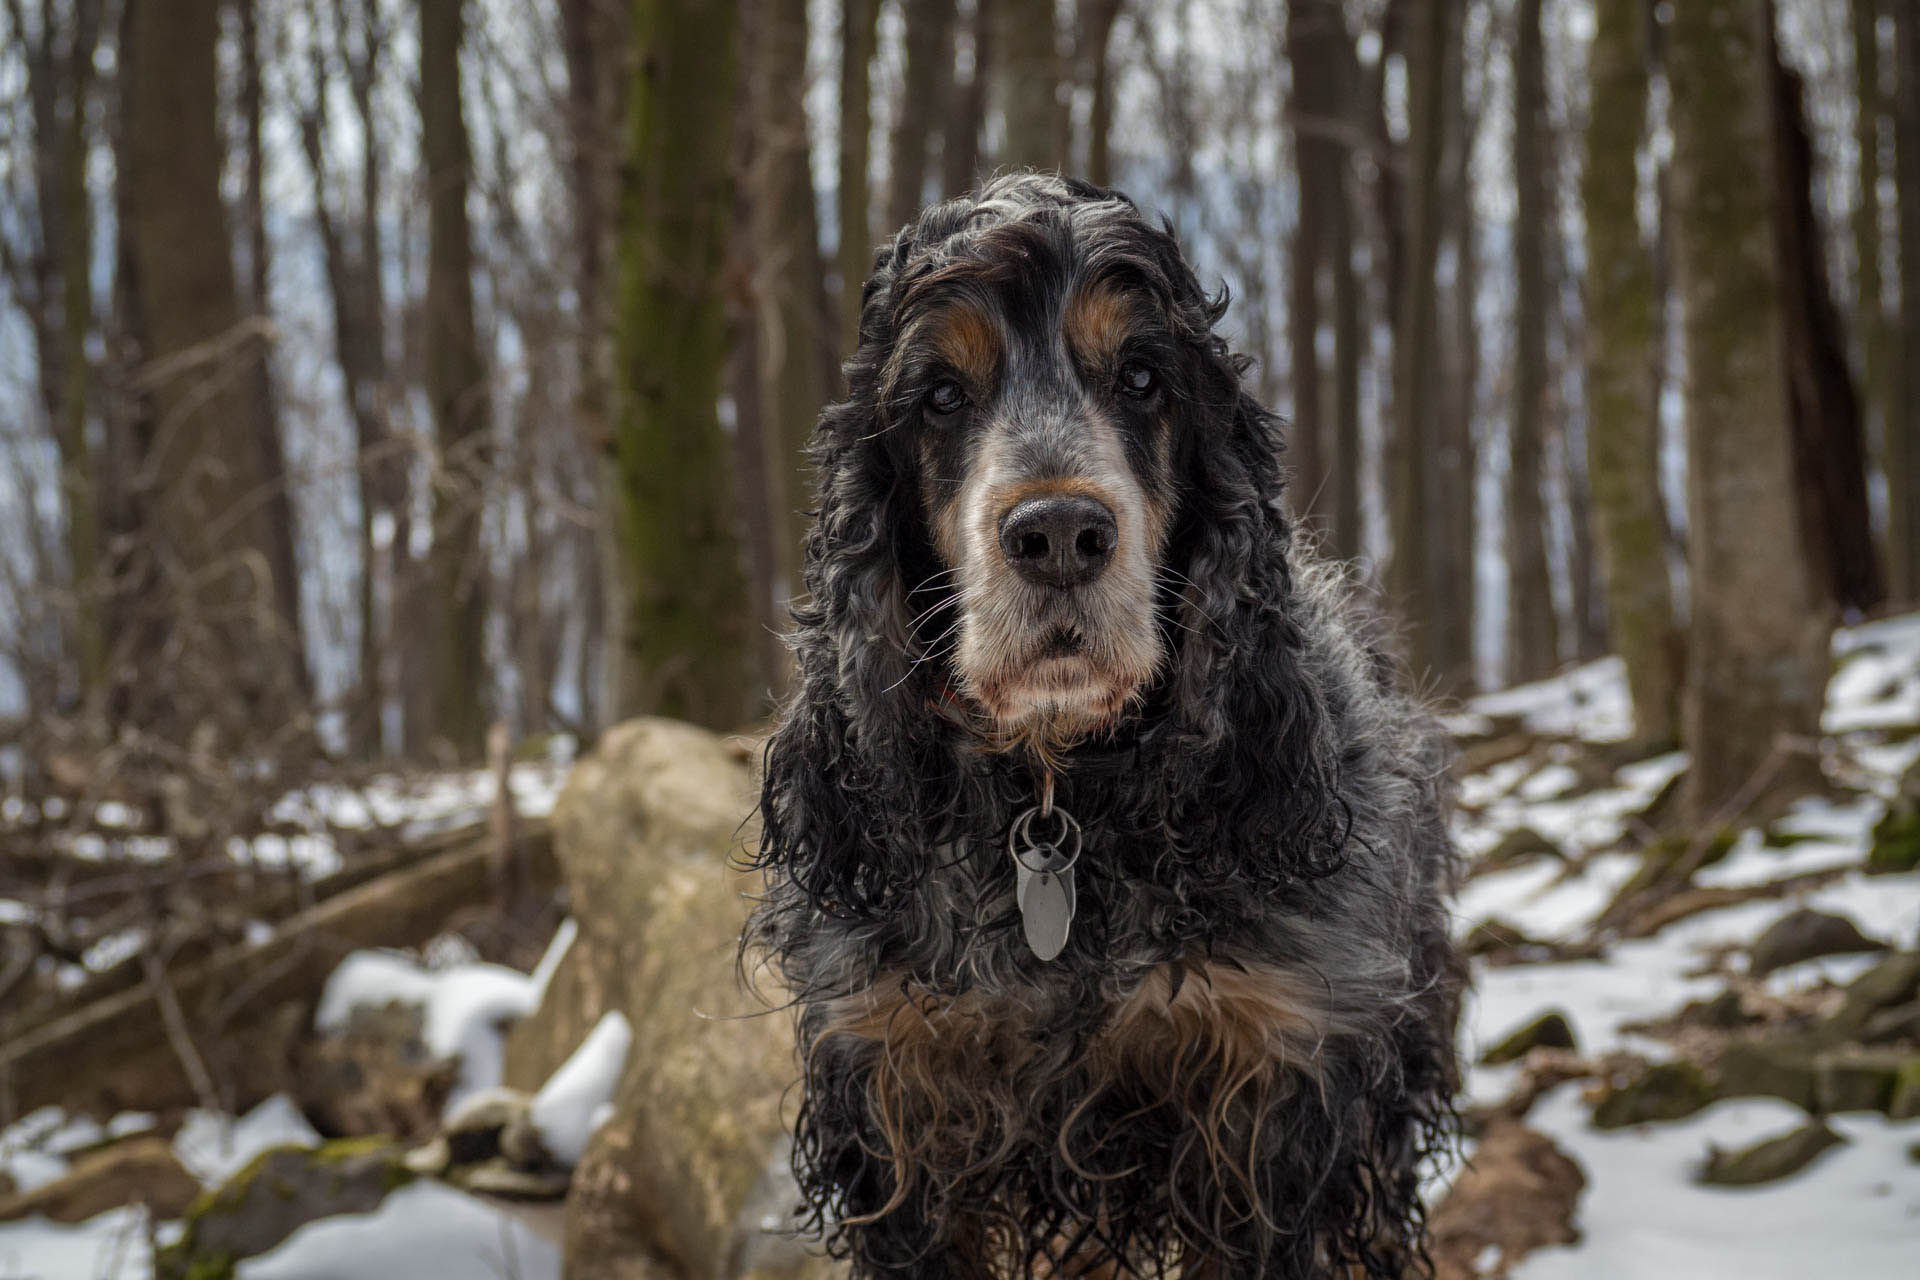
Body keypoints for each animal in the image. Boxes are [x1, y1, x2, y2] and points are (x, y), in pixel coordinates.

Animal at [744, 172, 1451, 1280]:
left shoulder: (1276, 1095)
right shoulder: (897, 1100)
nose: (1060, 534)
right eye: (940, 396)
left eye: (1144, 377)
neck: (1058, 793)